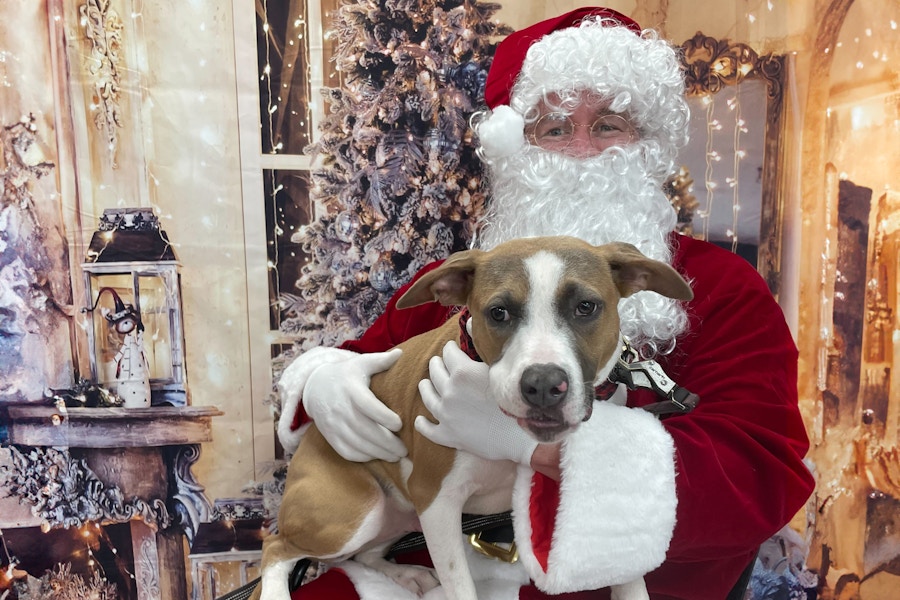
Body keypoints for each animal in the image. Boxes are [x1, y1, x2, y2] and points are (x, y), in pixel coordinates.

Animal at [256, 238, 692, 600]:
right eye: (498, 313)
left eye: (586, 307)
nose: (543, 385)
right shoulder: (437, 499)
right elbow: (460, 585)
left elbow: (626, 563)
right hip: (353, 511)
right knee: (277, 546)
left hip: (395, 517)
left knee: (359, 557)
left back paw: (403, 574)